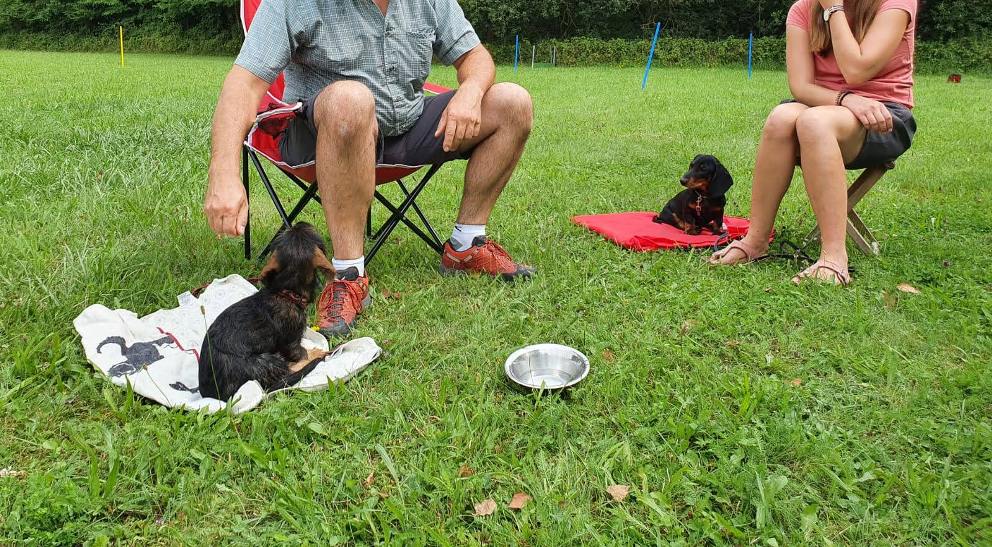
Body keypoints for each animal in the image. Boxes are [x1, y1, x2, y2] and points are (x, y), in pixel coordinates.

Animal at [200, 223, 336, 402]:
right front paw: (315, 353)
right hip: (266, 362)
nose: (300, 223)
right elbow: (302, 354)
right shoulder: (292, 342)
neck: (286, 292)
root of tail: (215, 396)